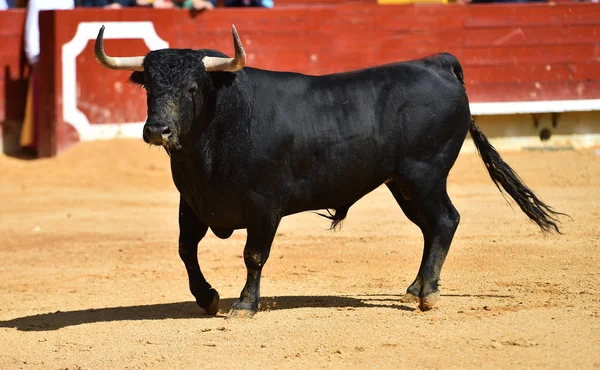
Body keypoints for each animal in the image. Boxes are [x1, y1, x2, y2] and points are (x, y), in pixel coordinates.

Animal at [95, 25, 568, 318]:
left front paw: (244, 305)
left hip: (425, 176)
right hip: (402, 185)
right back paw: (416, 288)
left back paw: (429, 294)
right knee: (431, 227)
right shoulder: (191, 203)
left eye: (193, 88)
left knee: (446, 221)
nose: (158, 130)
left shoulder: (264, 205)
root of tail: (437, 63)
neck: (219, 124)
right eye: (150, 88)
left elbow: (253, 255)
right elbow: (185, 250)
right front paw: (208, 298)